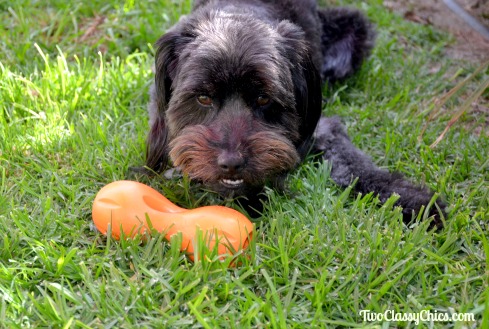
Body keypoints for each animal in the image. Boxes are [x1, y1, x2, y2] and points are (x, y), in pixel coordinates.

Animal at [143, 0, 444, 227]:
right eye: (203, 97)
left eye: (263, 98)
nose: (231, 163)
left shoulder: (323, 127)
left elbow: (355, 165)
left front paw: (410, 200)